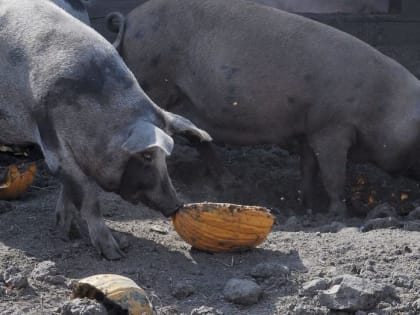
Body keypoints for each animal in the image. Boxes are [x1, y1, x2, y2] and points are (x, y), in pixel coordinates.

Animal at [0, 0, 210, 260]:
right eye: (146, 156)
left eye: (165, 159)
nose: (175, 205)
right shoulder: (51, 140)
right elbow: (88, 195)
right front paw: (114, 253)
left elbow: (69, 190)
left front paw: (68, 233)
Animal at [106, 0, 420, 216]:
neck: (382, 106)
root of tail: (131, 18)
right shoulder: (332, 127)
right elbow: (333, 174)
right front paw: (339, 215)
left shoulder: (308, 128)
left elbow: (309, 168)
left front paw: (309, 207)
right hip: (155, 79)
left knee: (197, 138)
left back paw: (229, 182)